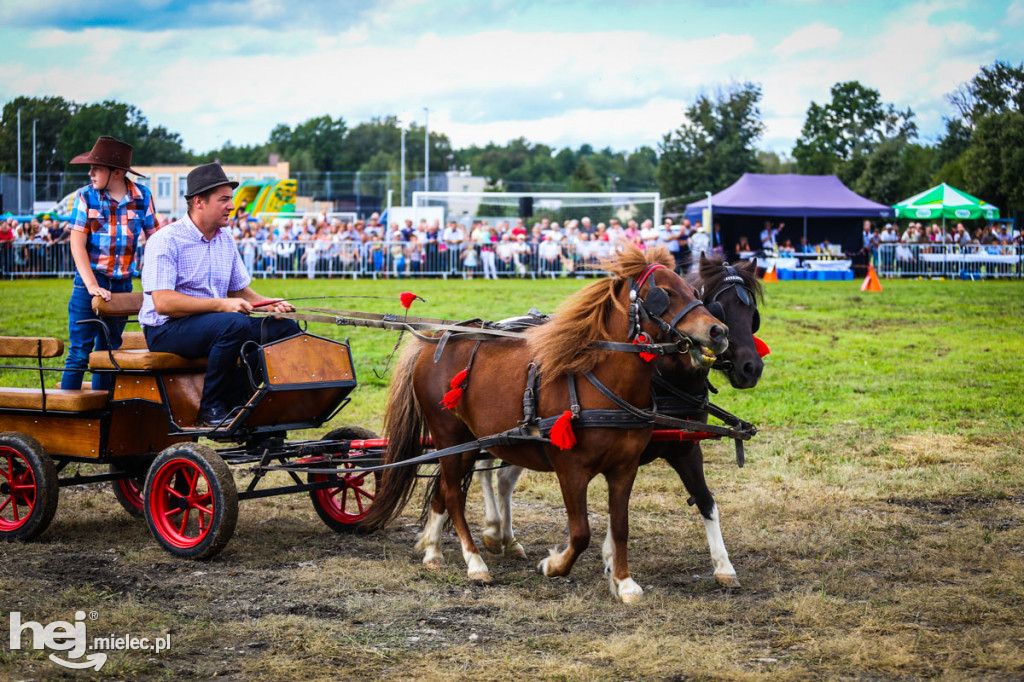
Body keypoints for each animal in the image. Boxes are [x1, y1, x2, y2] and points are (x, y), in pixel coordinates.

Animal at [364, 242, 733, 602]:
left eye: (694, 291)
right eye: (665, 294)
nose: (718, 331)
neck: (600, 381)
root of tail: (436, 339)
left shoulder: (625, 467)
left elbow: (620, 525)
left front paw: (624, 582)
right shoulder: (570, 469)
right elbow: (581, 532)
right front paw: (554, 565)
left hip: (469, 442)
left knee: (444, 489)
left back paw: (434, 552)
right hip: (449, 436)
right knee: (454, 494)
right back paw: (475, 562)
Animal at [475, 253, 765, 585]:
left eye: (752, 313)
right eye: (718, 305)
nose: (750, 368)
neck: (666, 378)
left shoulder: (683, 448)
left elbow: (705, 500)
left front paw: (724, 567)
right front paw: (611, 559)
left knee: (503, 478)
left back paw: (508, 539)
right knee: (483, 468)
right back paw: (492, 530)